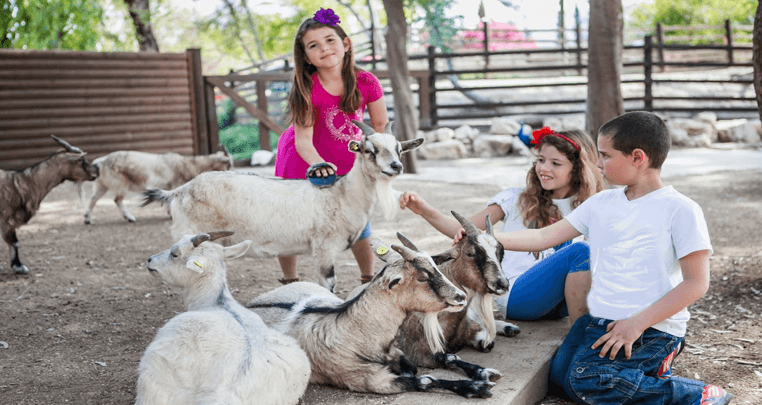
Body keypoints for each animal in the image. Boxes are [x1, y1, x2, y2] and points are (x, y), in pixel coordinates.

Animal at [0, 136, 98, 274]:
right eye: (81, 161)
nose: (97, 170)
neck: (23, 183)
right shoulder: (6, 219)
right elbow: (14, 241)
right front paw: (18, 266)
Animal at [81, 148, 232, 224]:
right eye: (229, 163)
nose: (231, 172)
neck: (189, 165)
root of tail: (100, 162)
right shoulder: (175, 185)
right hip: (120, 184)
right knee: (117, 200)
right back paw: (129, 217)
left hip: (102, 185)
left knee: (93, 198)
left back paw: (87, 219)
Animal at [142, 118, 424, 292]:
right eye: (369, 150)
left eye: (399, 149)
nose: (396, 166)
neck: (342, 194)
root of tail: (179, 191)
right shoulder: (324, 247)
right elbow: (328, 284)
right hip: (192, 236)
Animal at [243, 232, 492, 396]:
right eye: (422, 277)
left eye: (436, 266)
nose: (460, 296)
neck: (356, 335)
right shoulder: (370, 380)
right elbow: (424, 380)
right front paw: (477, 387)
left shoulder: (399, 353)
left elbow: (439, 360)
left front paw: (485, 372)